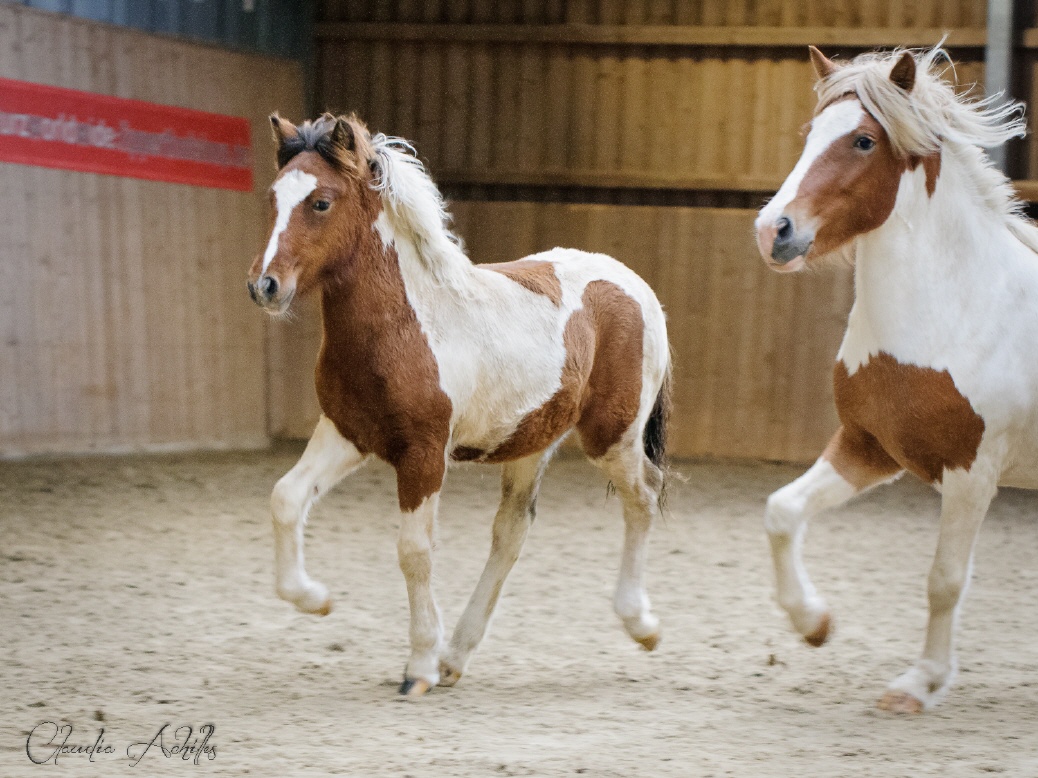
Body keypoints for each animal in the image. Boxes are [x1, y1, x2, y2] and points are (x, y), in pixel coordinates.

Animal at [249, 114, 672, 701]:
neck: (405, 324)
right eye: (274, 198)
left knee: (644, 496)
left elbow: (414, 551)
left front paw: (418, 668)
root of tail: (638, 286)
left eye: (321, 203)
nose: (264, 286)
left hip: (613, 435)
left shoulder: (423, 453)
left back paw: (643, 626)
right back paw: (457, 656)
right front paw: (317, 599)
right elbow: (286, 498)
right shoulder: (346, 432)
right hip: (531, 440)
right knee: (512, 531)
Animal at [755, 44, 1038, 713]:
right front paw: (814, 624)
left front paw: (921, 682)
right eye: (810, 133)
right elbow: (782, 512)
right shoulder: (869, 447)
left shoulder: (970, 473)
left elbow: (944, 580)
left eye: (863, 140)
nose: (773, 230)